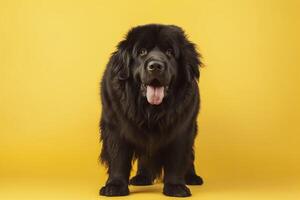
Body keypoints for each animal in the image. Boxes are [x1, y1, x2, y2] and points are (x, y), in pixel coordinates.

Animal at [99, 23, 203, 197]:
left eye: (169, 52)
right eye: (142, 52)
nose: (155, 66)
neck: (150, 111)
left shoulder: (182, 128)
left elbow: (177, 158)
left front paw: (175, 186)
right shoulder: (115, 127)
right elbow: (118, 156)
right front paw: (115, 185)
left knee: (190, 155)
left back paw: (191, 177)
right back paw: (142, 177)